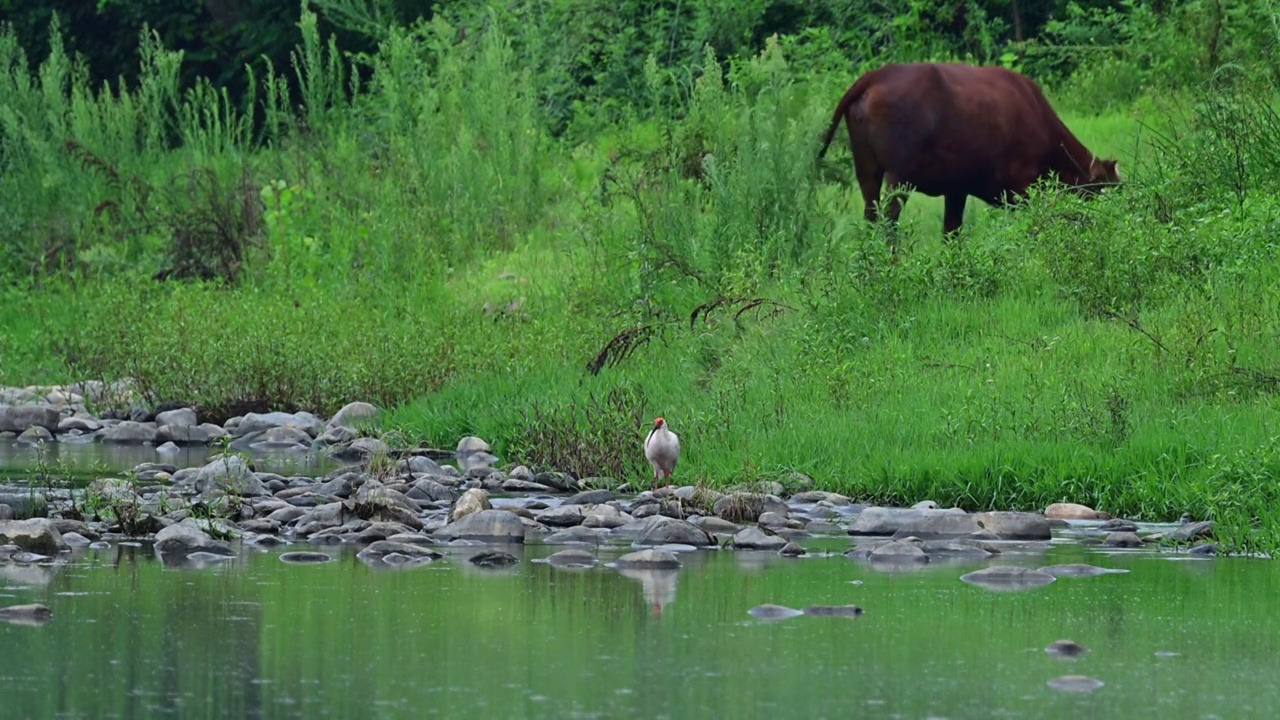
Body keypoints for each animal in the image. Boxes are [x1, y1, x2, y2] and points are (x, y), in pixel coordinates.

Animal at [819, 62, 1121, 240]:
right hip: (898, 177)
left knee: (871, 215)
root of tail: (876, 76)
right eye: (1102, 190)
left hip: (867, 171)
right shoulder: (1022, 189)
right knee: (890, 218)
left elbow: (951, 232)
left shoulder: (957, 190)